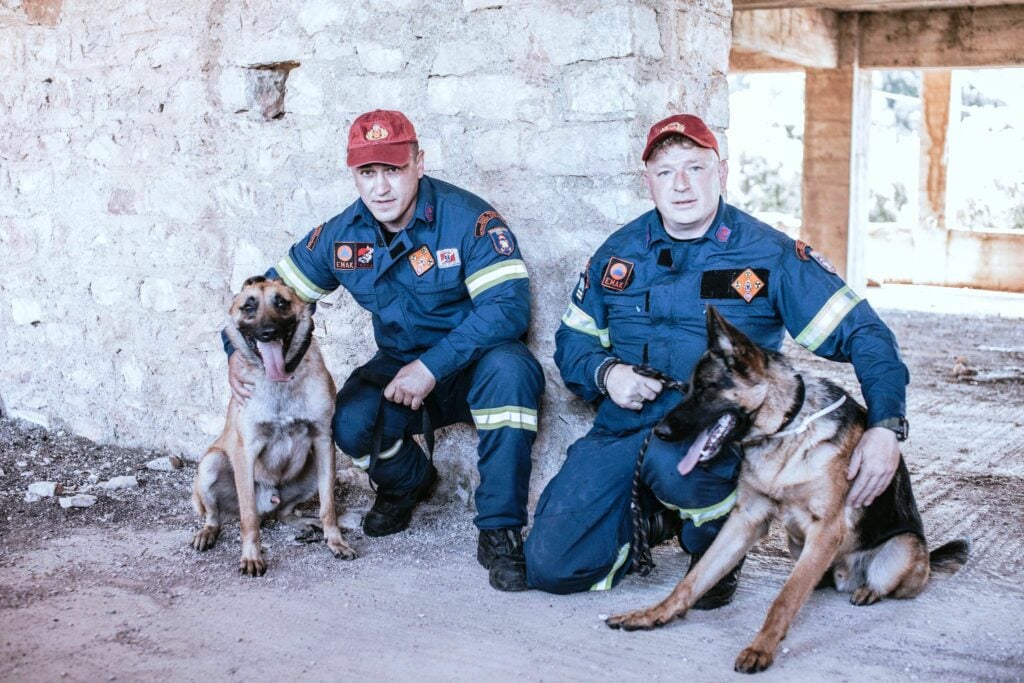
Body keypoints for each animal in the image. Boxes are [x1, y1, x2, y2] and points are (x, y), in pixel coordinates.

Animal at [193, 274, 358, 573]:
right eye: (248, 307)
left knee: (284, 512)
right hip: (211, 463)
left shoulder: (323, 442)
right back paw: (207, 532)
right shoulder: (246, 451)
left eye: (281, 303)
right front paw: (251, 557)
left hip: (312, 470)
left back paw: (306, 523)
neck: (280, 381)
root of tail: (268, 502)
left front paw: (336, 541)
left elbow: (328, 506)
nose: (268, 333)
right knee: (217, 516)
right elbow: (248, 518)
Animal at [606, 309, 966, 671]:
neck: (786, 428)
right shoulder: (746, 520)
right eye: (687, 388)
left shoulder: (826, 530)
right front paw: (654, 614)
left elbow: (785, 598)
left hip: (900, 551)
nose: (659, 431)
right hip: (797, 543)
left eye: (706, 389)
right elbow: (694, 579)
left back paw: (868, 590)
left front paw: (760, 649)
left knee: (893, 581)